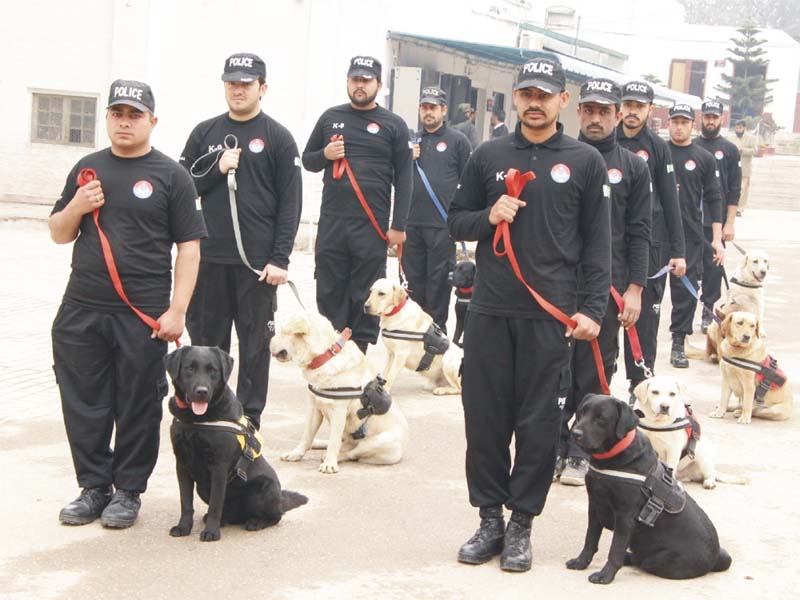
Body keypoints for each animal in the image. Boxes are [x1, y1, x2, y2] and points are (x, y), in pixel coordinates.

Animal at [270, 312, 406, 472]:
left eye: (281, 331)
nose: (269, 340)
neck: (325, 356)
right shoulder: (314, 408)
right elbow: (307, 435)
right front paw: (296, 453)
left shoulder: (339, 413)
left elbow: (334, 442)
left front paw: (329, 463)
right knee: (339, 443)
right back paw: (318, 443)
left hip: (381, 441)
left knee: (352, 452)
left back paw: (334, 456)